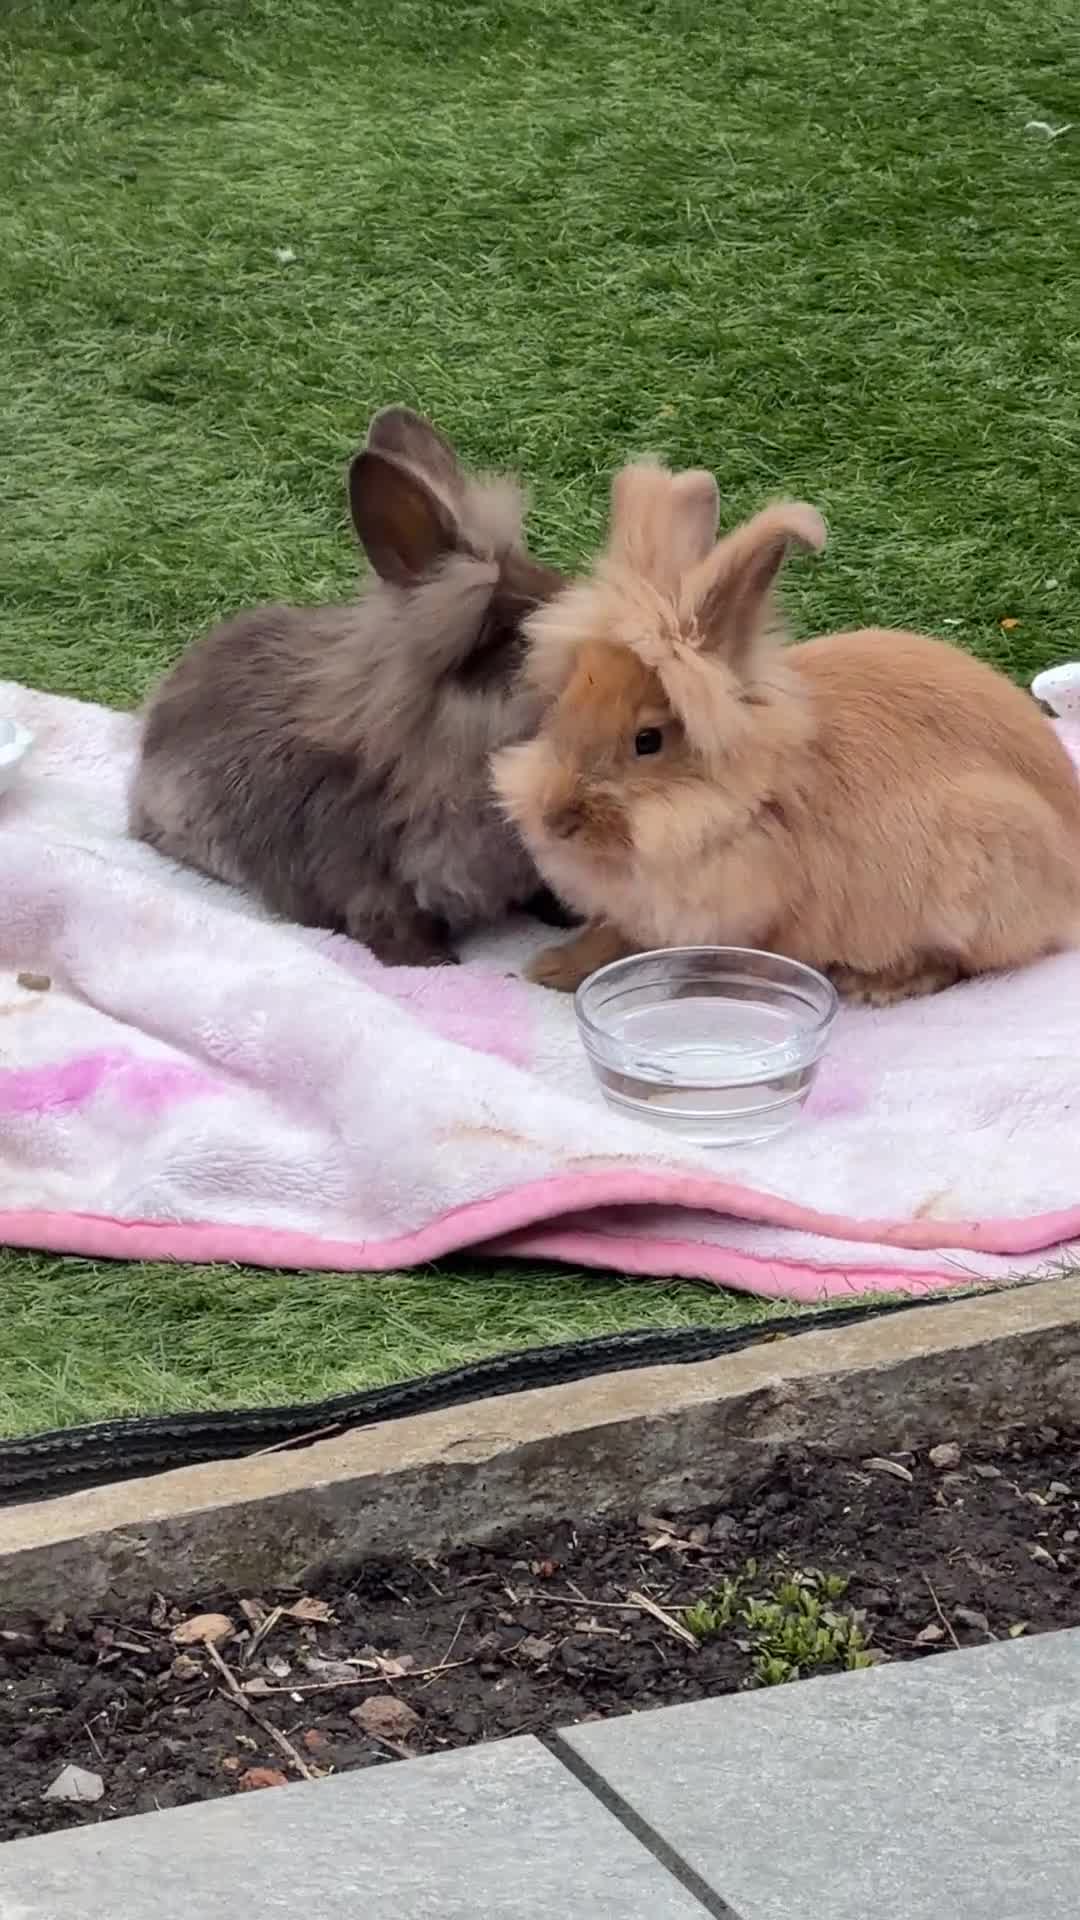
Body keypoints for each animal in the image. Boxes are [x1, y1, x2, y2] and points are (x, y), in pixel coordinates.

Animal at [493, 459, 1080, 1004]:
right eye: (562, 710)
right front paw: (552, 969)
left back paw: (876, 984)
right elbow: (612, 936)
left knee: (962, 963)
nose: (556, 820)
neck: (743, 801)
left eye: (647, 741)